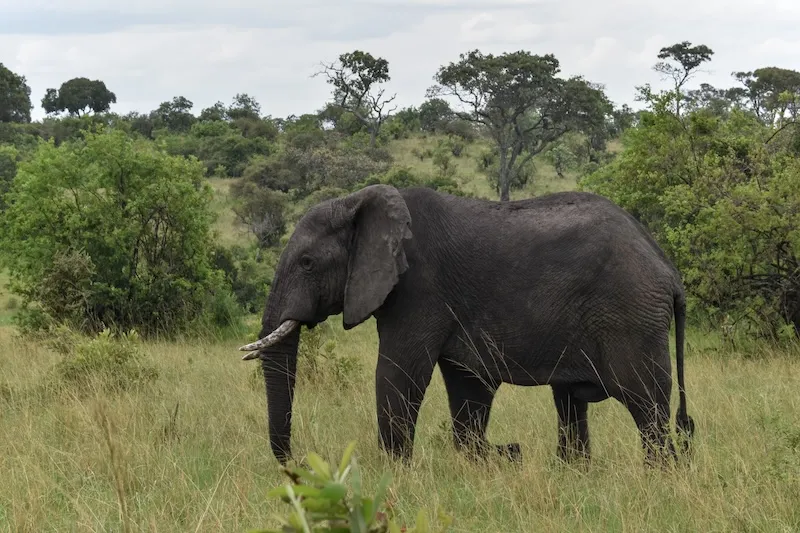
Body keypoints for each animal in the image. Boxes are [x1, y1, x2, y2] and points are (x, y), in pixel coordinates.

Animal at [238, 184, 695, 466]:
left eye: (307, 263)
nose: (298, 463)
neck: (359, 201)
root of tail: (668, 270)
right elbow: (468, 388)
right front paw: (492, 457)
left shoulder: (419, 289)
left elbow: (398, 374)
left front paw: (395, 474)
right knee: (570, 403)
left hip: (631, 314)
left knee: (646, 405)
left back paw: (659, 476)